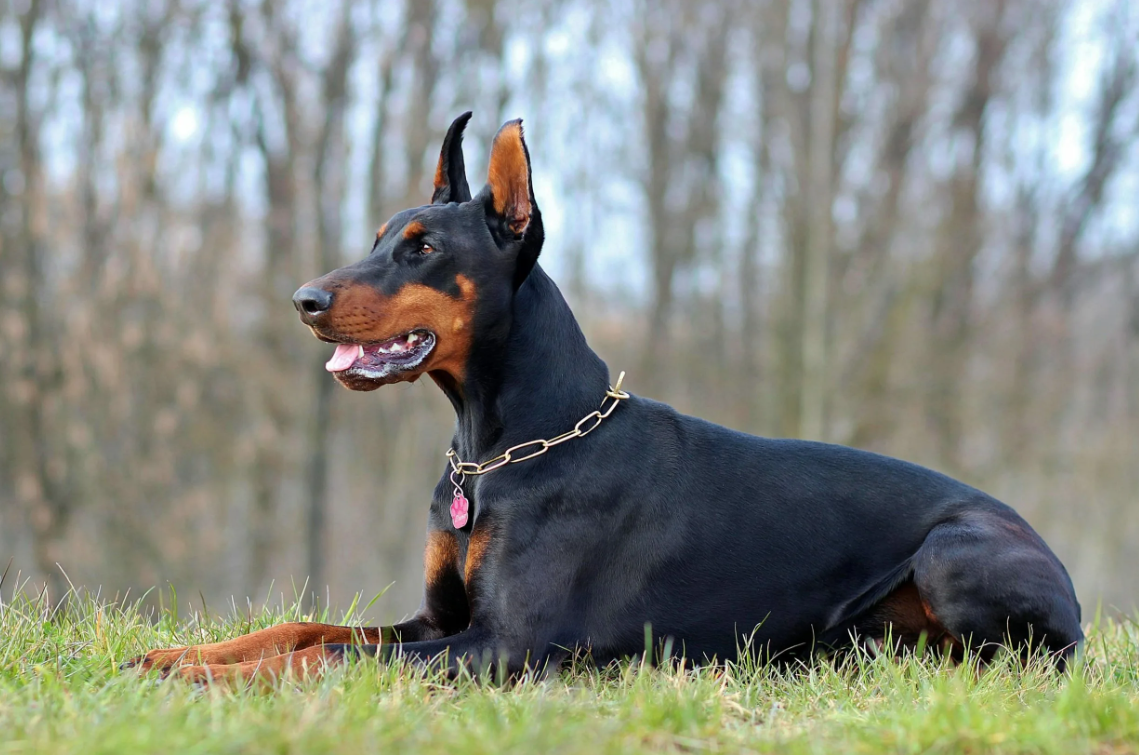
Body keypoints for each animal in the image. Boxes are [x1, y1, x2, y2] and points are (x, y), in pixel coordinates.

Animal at [129, 113, 1079, 683]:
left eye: (423, 247)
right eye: (376, 238)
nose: (304, 299)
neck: (501, 446)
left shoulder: (499, 644)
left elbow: (325, 658)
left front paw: (208, 679)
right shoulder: (436, 619)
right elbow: (301, 631)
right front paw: (175, 654)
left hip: (954, 549)